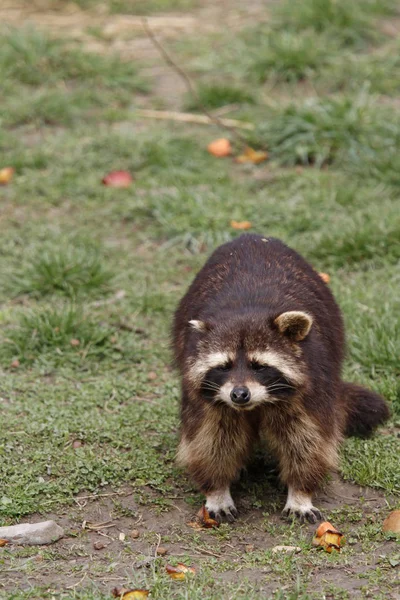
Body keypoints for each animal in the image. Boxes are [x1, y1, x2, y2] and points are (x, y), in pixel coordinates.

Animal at [173, 234, 390, 520]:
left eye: (258, 366)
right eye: (225, 366)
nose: (239, 395)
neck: (246, 311)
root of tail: (251, 236)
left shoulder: (313, 383)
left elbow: (306, 440)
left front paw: (300, 491)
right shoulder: (207, 396)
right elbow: (211, 439)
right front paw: (217, 489)